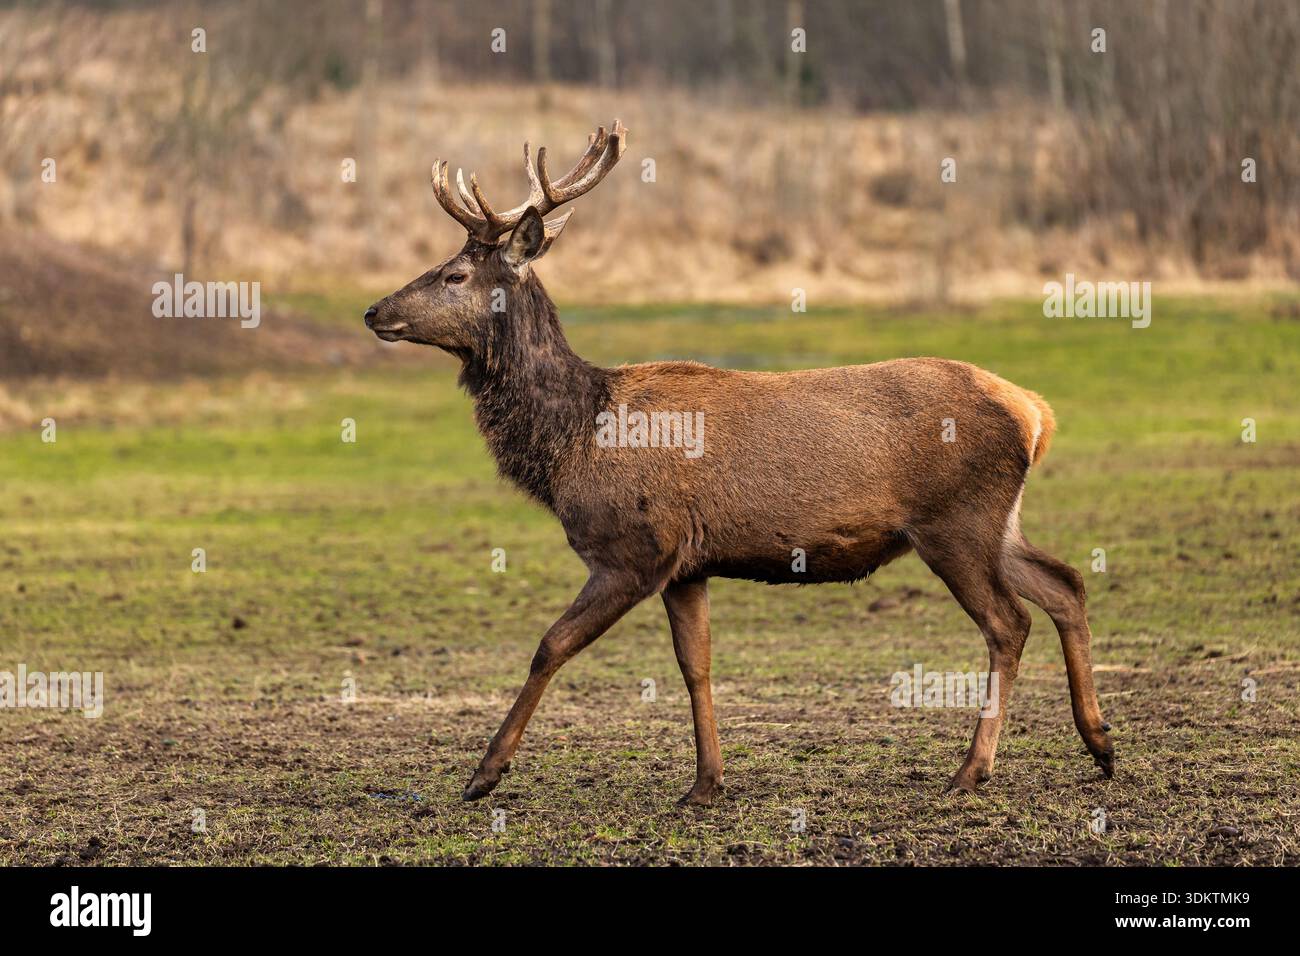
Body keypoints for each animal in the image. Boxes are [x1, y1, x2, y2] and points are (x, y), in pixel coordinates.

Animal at [363, 120, 1114, 807]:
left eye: (455, 273)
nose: (373, 310)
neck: (575, 437)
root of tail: (1034, 412)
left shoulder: (633, 548)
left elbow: (550, 645)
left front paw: (483, 774)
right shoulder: (686, 565)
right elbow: (695, 665)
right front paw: (706, 782)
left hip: (955, 521)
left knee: (1009, 622)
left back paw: (971, 770)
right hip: (997, 523)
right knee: (1065, 584)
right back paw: (1100, 744)